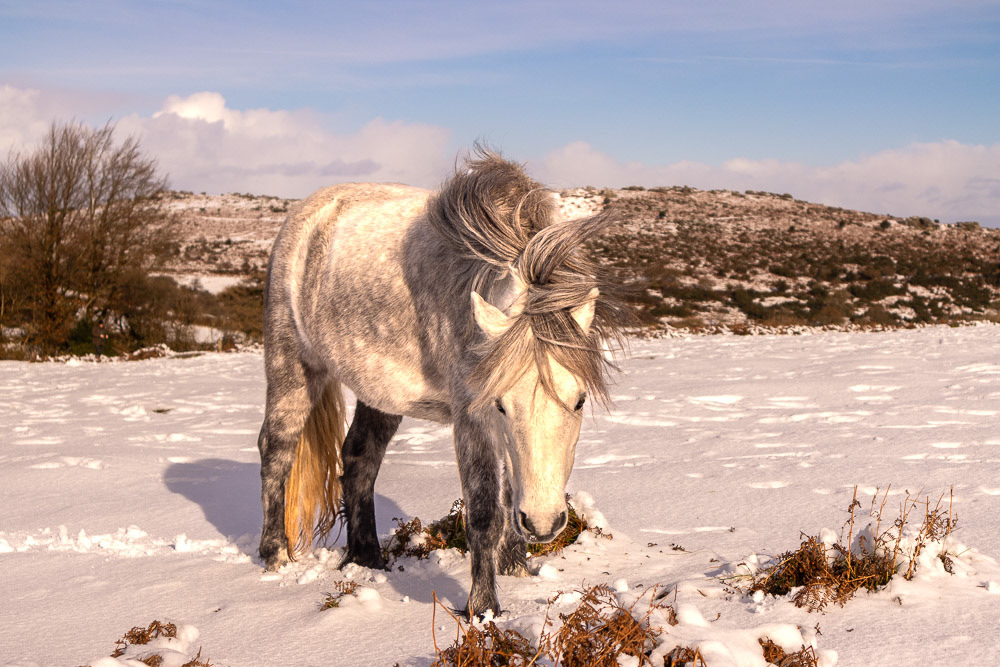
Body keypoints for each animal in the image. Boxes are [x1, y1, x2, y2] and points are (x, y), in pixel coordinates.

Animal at [257, 148, 627, 617]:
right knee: (276, 452)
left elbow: (510, 494)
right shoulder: (473, 415)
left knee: (359, 459)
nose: (544, 523)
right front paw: (484, 610)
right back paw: (275, 558)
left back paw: (367, 560)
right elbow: (485, 511)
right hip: (292, 367)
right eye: (502, 405)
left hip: (379, 393)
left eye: (579, 401)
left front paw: (517, 571)